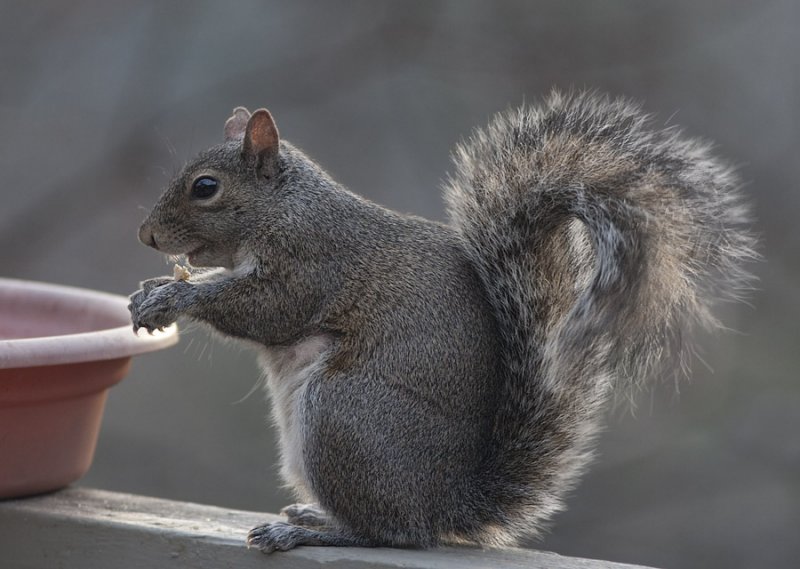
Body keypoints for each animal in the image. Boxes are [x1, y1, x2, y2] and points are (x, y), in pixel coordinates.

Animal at [128, 92, 752, 552]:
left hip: (343, 413)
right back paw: (313, 516)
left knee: (395, 534)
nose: (147, 237)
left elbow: (267, 309)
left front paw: (173, 298)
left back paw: (312, 531)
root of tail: (447, 503)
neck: (286, 208)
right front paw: (153, 289)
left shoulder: (311, 264)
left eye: (206, 187)